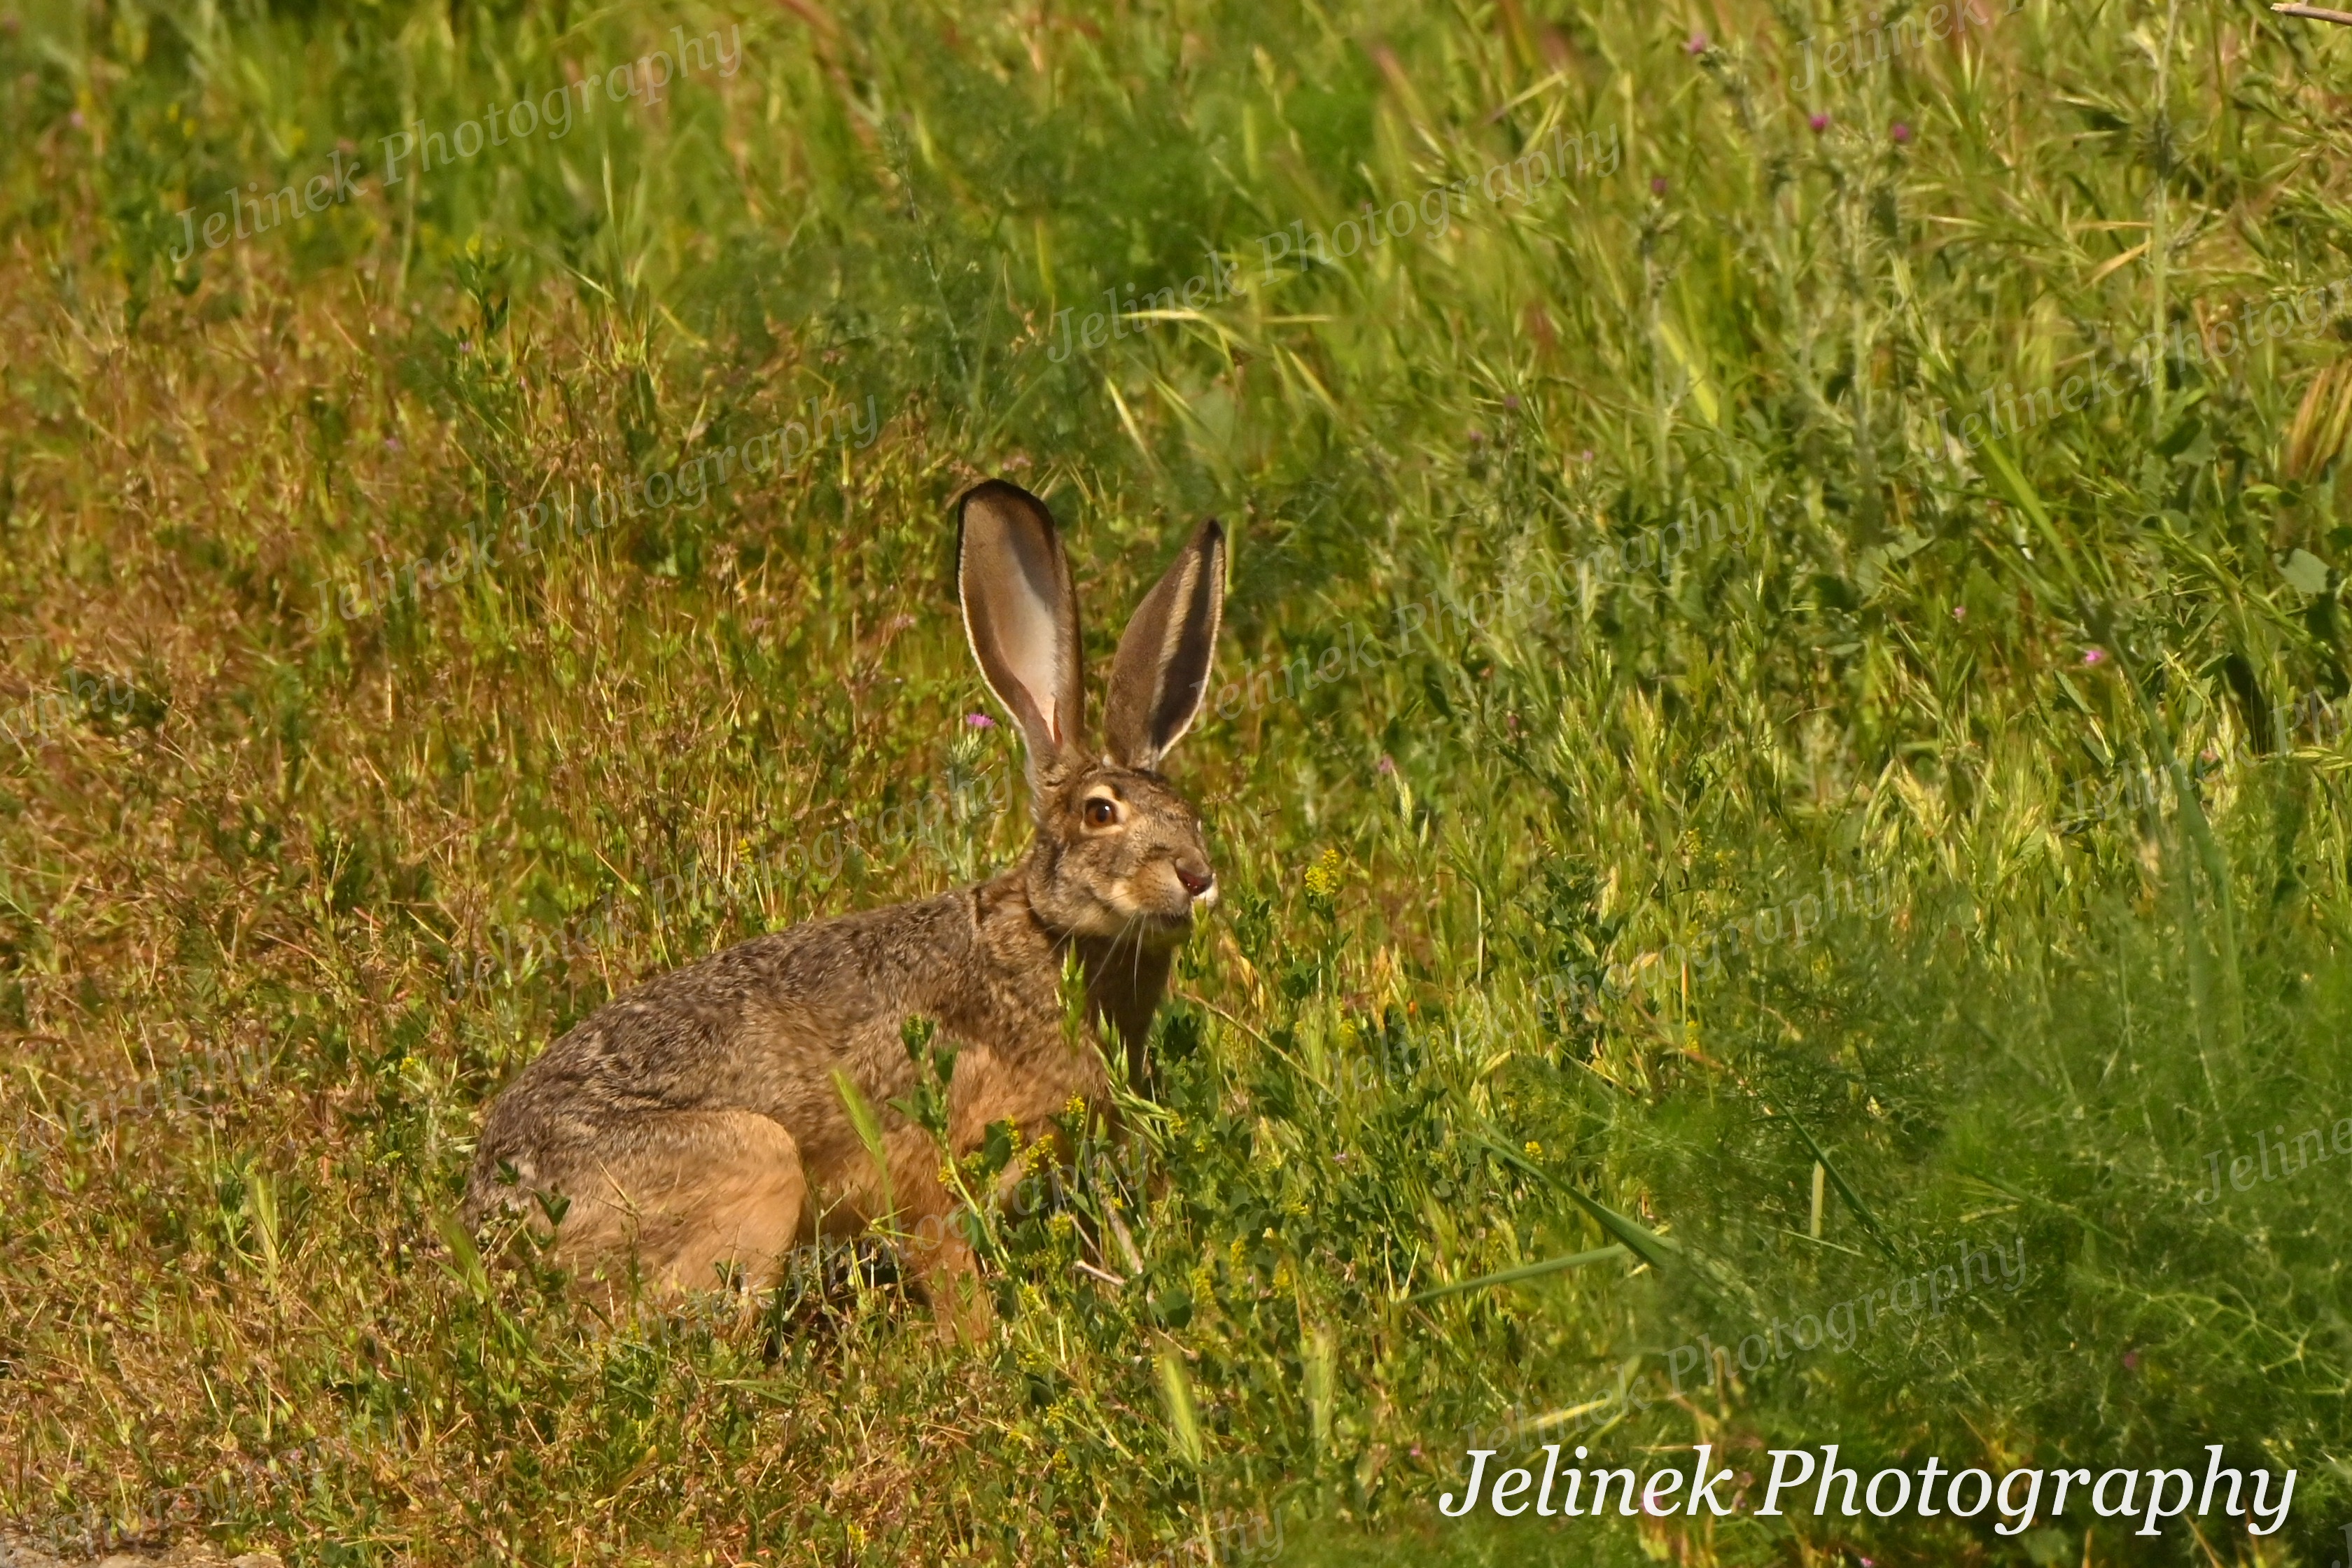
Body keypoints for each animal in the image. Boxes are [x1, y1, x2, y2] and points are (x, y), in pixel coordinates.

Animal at [461, 478, 1226, 1337]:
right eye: (1101, 812)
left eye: (1192, 813)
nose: (1197, 876)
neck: (1043, 933)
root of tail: (493, 1225)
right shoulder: (933, 1168)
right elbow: (946, 1256)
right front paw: (978, 1342)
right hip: (756, 1164)